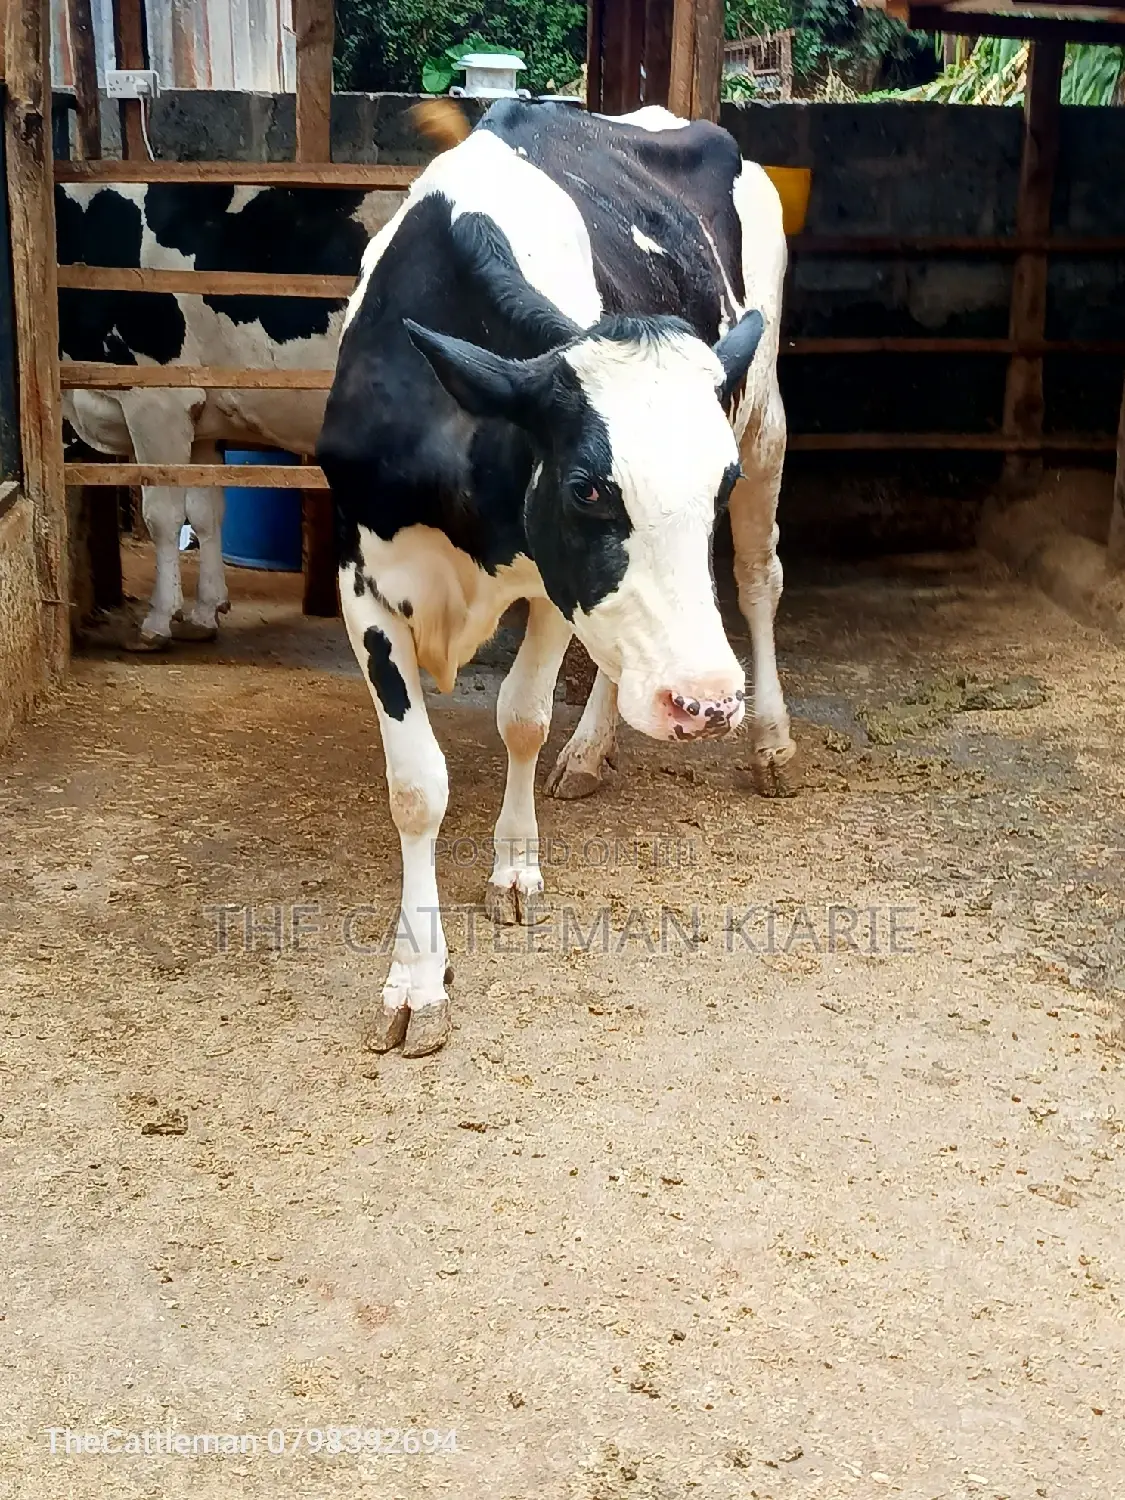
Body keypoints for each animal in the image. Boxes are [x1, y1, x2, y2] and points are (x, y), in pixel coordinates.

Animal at [317, 99, 794, 1058]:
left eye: (715, 482)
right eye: (587, 488)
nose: (703, 704)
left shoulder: (548, 585)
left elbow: (522, 719)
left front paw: (513, 867)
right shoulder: (362, 583)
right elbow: (416, 787)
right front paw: (417, 980)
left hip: (764, 414)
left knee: (758, 577)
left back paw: (768, 738)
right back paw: (595, 750)